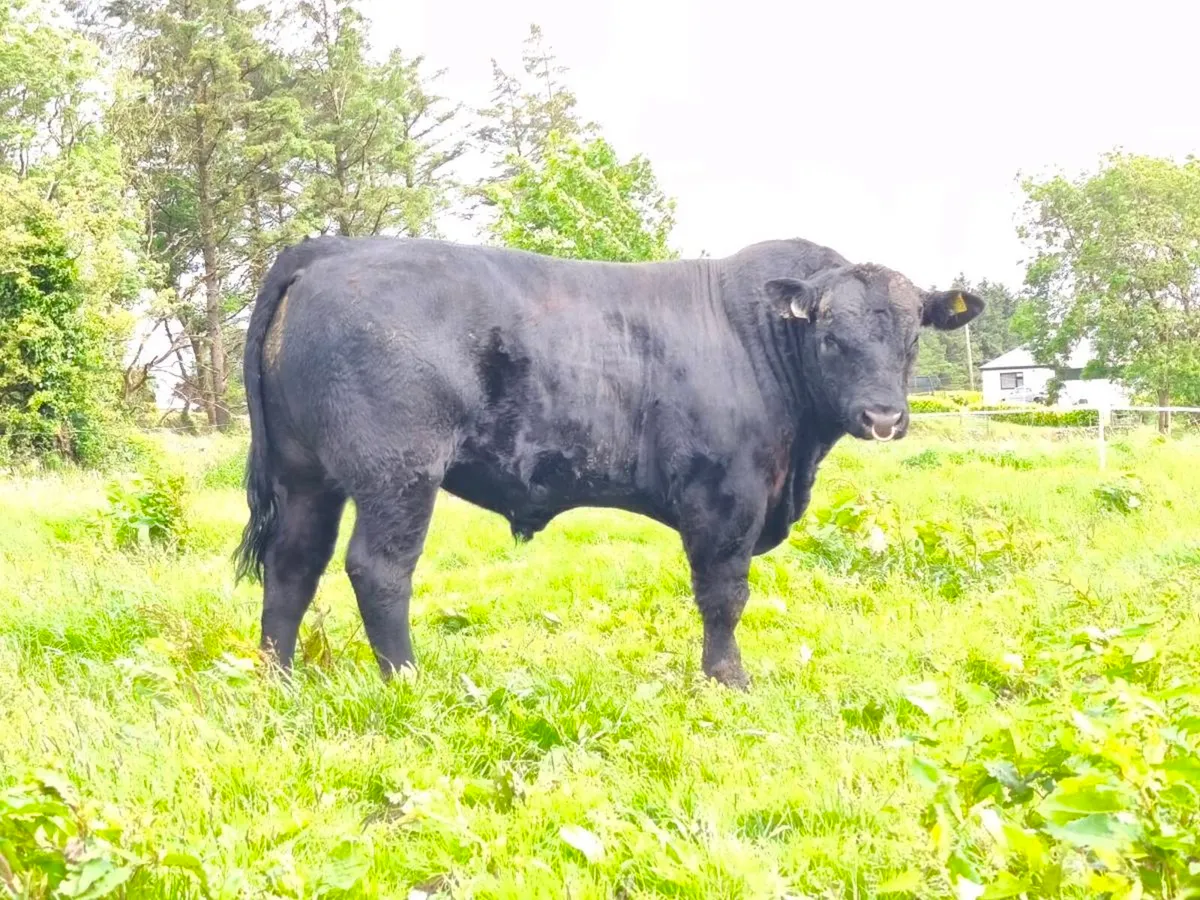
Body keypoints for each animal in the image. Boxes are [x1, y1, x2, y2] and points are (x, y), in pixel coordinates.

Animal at [234, 235, 983, 689]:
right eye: (830, 334)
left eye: (914, 334)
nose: (884, 418)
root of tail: (334, 247)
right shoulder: (725, 496)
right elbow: (724, 594)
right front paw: (728, 680)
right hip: (398, 473)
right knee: (378, 569)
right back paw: (407, 679)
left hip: (306, 476)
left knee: (292, 566)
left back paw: (277, 679)